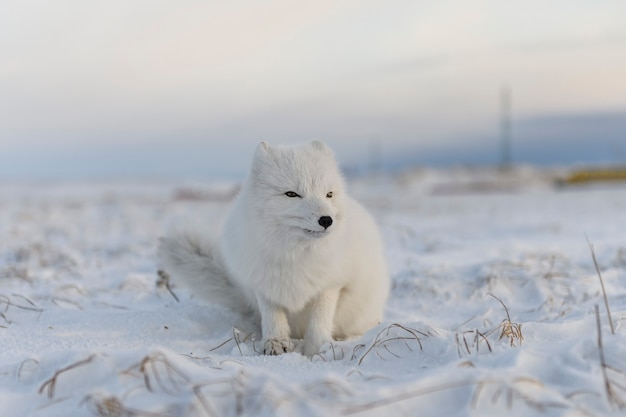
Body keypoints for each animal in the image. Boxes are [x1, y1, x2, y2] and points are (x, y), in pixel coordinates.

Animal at [158, 140, 388, 354]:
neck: (294, 254)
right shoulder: (264, 283)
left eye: (329, 194)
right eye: (292, 194)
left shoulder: (331, 285)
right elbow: (273, 316)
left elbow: (320, 320)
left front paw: (318, 350)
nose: (326, 220)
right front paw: (275, 343)